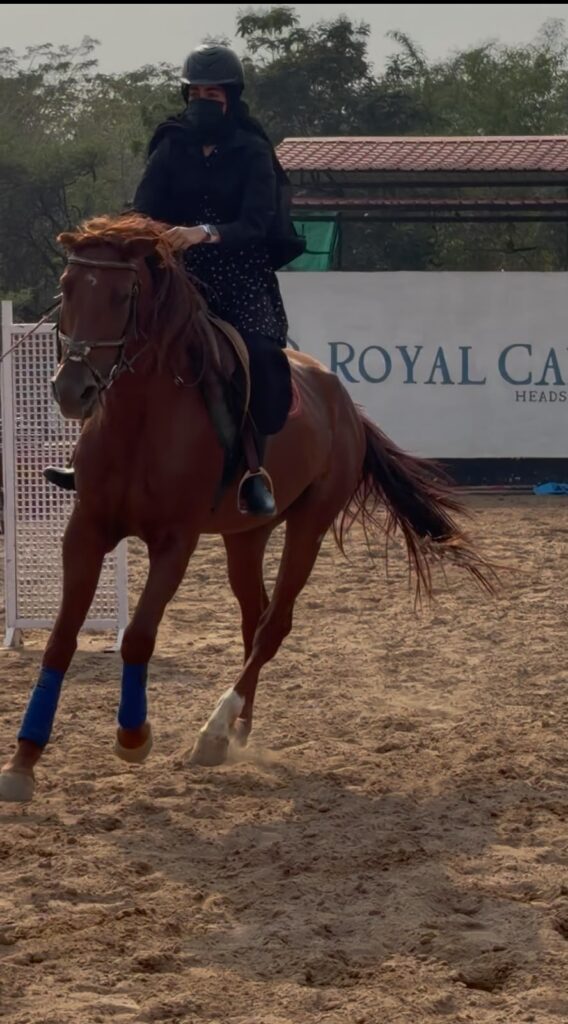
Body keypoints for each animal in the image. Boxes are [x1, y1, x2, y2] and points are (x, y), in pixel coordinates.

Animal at [0, 214, 494, 803]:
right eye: (68, 289)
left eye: (123, 296)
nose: (70, 391)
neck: (141, 422)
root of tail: (345, 404)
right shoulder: (86, 529)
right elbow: (59, 641)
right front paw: (23, 760)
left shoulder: (176, 541)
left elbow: (139, 636)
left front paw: (133, 736)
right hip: (245, 535)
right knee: (252, 617)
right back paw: (239, 728)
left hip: (309, 526)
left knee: (273, 623)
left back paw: (215, 732)